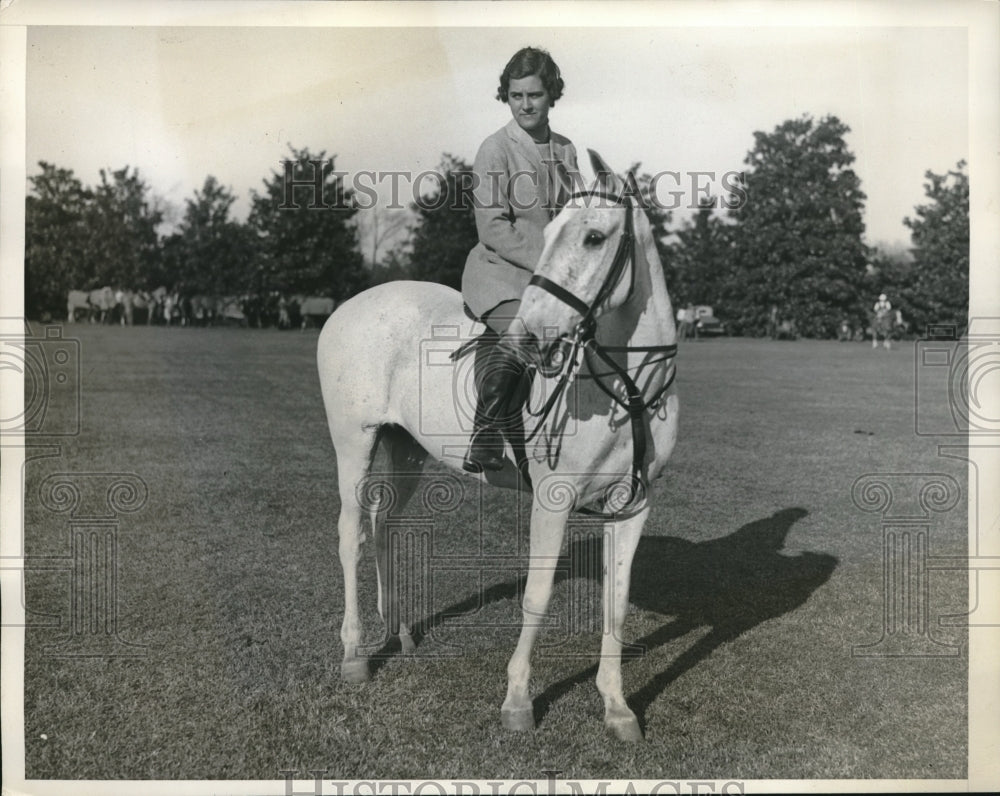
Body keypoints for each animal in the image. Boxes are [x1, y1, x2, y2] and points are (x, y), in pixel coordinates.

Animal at [320, 152, 680, 744]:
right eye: (549, 234)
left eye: (594, 237)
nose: (529, 338)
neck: (625, 385)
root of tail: (344, 308)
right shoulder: (553, 499)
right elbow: (537, 596)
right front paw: (517, 701)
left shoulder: (633, 506)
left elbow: (617, 602)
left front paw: (617, 706)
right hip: (355, 439)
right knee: (351, 532)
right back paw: (353, 654)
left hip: (406, 446)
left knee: (385, 524)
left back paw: (400, 631)